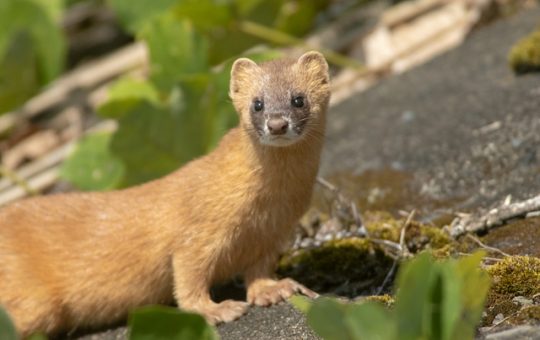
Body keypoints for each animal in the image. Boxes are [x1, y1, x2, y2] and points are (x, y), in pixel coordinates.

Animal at [0, 51, 330, 336]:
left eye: (298, 99)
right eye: (257, 104)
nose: (277, 124)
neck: (267, 206)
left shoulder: (274, 233)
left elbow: (258, 270)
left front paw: (276, 289)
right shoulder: (197, 232)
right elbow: (188, 279)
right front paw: (217, 310)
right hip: (35, 301)